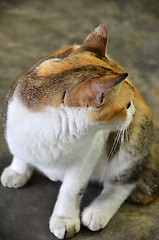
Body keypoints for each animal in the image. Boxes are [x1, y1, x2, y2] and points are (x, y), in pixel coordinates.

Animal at [0, 25, 158, 239]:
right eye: (126, 105)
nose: (132, 113)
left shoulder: (89, 154)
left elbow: (71, 189)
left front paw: (65, 218)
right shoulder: (13, 124)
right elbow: (20, 153)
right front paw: (17, 171)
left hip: (133, 140)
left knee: (124, 182)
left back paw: (98, 211)